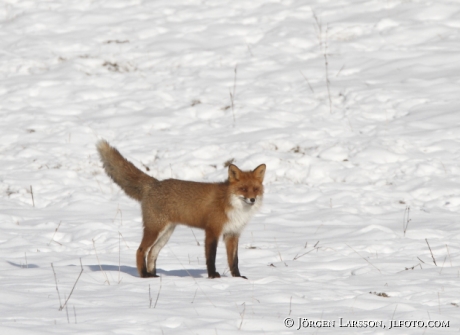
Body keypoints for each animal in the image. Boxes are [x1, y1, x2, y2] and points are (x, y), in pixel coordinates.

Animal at [97, 140, 266, 280]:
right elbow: (211, 257)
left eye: (255, 189)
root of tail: (155, 183)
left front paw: (238, 278)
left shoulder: (233, 234)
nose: (252, 199)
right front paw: (213, 275)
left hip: (166, 233)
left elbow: (234, 260)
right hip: (154, 229)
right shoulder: (212, 231)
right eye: (243, 189)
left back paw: (153, 274)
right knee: (140, 250)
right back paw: (144, 275)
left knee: (152, 253)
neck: (232, 205)